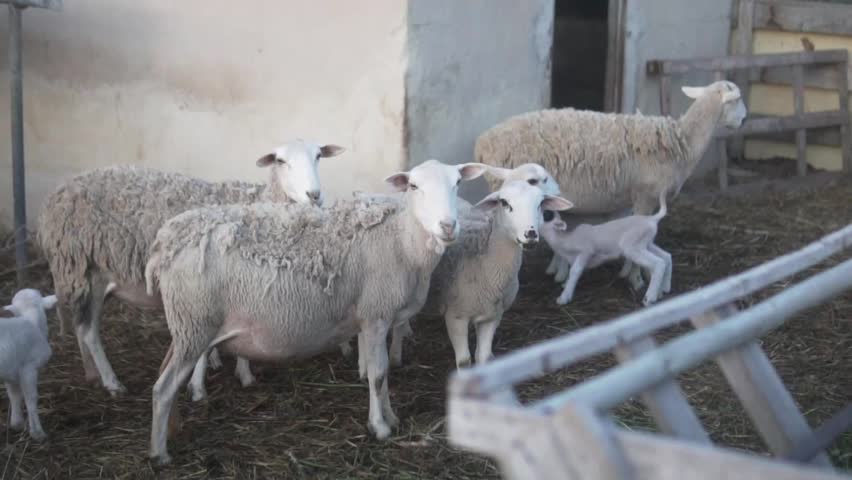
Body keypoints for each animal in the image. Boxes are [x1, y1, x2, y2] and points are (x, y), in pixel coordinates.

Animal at [1, 289, 58, 441]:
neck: (31, 320)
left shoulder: (12, 371)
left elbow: (14, 395)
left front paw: (17, 423)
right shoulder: (29, 368)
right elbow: (31, 398)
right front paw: (37, 433)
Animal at [36, 139, 345, 396]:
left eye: (319, 155)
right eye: (281, 161)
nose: (314, 195)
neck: (261, 202)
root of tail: (57, 194)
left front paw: (241, 372)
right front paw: (199, 386)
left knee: (82, 326)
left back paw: (91, 374)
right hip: (86, 269)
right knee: (88, 331)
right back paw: (112, 383)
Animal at [143, 159, 487, 464]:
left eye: (458, 183)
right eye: (414, 186)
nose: (448, 226)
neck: (403, 241)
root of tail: (167, 240)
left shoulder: (376, 318)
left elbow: (383, 373)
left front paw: (391, 417)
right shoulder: (375, 315)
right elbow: (377, 375)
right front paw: (379, 427)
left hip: (187, 325)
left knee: (163, 372)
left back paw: (173, 428)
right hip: (195, 322)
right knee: (163, 387)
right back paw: (159, 453)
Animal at [477, 80, 746, 288]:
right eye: (737, 100)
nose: (744, 120)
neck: (683, 141)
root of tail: (484, 142)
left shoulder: (629, 199)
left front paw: (626, 270)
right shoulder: (646, 195)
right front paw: (636, 278)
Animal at [540, 191, 671, 306]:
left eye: (546, 214)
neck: (565, 238)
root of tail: (652, 219)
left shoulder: (586, 252)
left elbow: (575, 271)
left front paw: (564, 297)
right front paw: (565, 284)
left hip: (633, 247)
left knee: (658, 263)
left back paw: (649, 298)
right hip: (646, 243)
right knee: (666, 257)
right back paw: (665, 288)